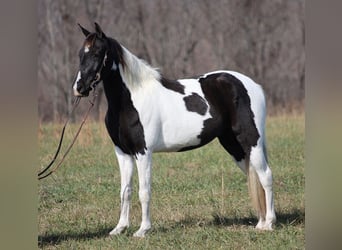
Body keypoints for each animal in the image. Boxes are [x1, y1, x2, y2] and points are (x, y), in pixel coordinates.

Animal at [73, 23, 276, 236]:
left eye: (97, 53)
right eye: (80, 54)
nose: (80, 88)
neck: (130, 100)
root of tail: (252, 85)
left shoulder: (143, 152)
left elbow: (144, 192)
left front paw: (142, 230)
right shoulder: (122, 153)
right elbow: (125, 191)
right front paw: (119, 228)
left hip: (251, 140)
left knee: (266, 176)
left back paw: (269, 223)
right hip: (234, 145)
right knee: (254, 176)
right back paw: (261, 223)